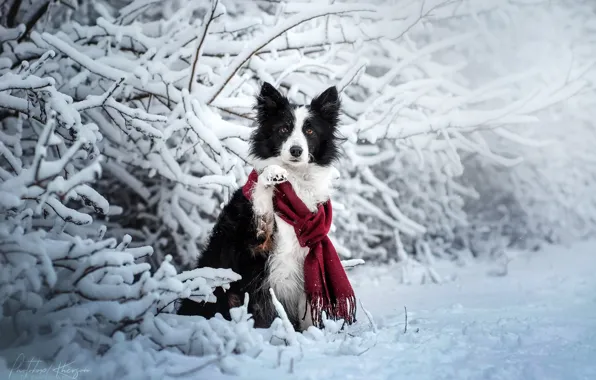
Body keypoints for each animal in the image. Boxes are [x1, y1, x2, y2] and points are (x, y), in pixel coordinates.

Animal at [178, 81, 340, 332]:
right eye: (283, 129)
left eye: (310, 131)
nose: (296, 151)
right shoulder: (253, 249)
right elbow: (261, 200)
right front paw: (271, 175)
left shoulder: (307, 262)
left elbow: (307, 316)